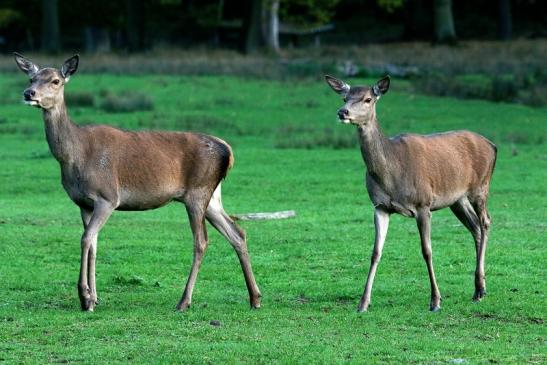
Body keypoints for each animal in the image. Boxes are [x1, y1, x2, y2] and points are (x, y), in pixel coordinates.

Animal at [12, 52, 262, 312]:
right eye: (31, 78)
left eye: (55, 81)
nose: (29, 93)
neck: (74, 157)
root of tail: (228, 151)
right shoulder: (83, 203)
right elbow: (94, 243)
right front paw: (95, 297)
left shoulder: (107, 197)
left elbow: (85, 239)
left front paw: (85, 297)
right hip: (212, 197)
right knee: (237, 232)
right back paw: (255, 298)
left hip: (197, 191)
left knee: (201, 241)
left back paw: (184, 301)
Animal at [328, 75, 498, 312]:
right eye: (345, 97)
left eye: (368, 99)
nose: (342, 112)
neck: (391, 173)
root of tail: (493, 146)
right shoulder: (380, 206)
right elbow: (375, 252)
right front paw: (363, 303)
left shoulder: (423, 204)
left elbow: (427, 250)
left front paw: (435, 301)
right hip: (457, 199)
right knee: (475, 228)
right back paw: (478, 290)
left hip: (480, 187)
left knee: (485, 222)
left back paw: (480, 287)